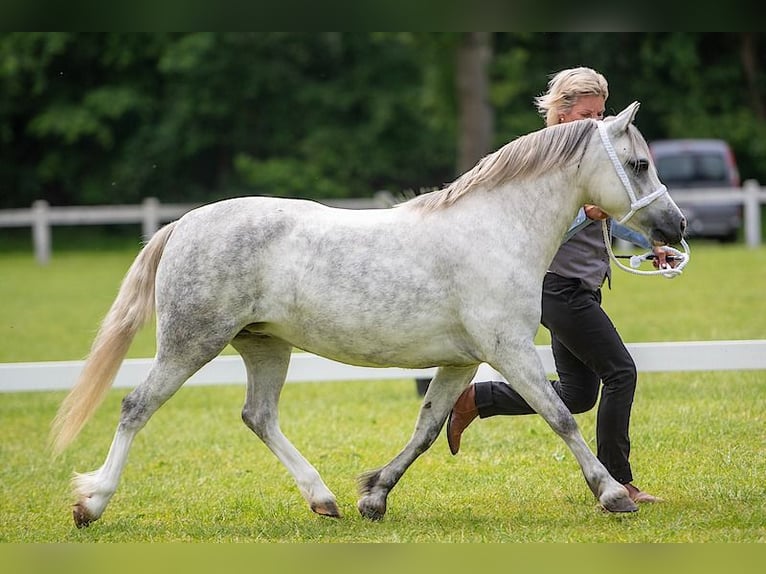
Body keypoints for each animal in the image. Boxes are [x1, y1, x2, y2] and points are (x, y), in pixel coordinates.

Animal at [54, 101, 688, 528]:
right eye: (638, 163)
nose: (676, 227)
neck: (496, 229)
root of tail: (183, 224)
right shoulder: (508, 350)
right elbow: (562, 417)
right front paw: (613, 495)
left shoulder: (462, 361)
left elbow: (428, 428)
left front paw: (374, 495)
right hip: (191, 343)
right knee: (136, 407)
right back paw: (92, 503)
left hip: (264, 345)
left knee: (258, 416)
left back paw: (324, 500)